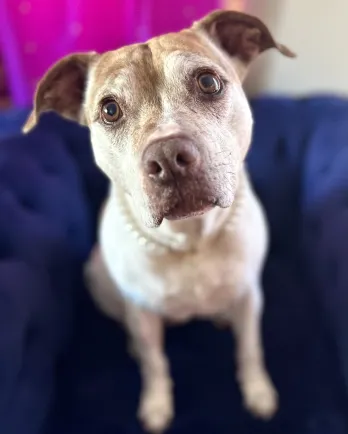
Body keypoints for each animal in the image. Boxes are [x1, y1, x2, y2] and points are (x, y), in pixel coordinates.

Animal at [22, 11, 294, 434]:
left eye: (208, 82)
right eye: (110, 110)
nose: (168, 157)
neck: (191, 240)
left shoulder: (250, 295)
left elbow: (250, 348)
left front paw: (258, 391)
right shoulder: (143, 310)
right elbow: (155, 364)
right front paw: (156, 404)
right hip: (97, 276)